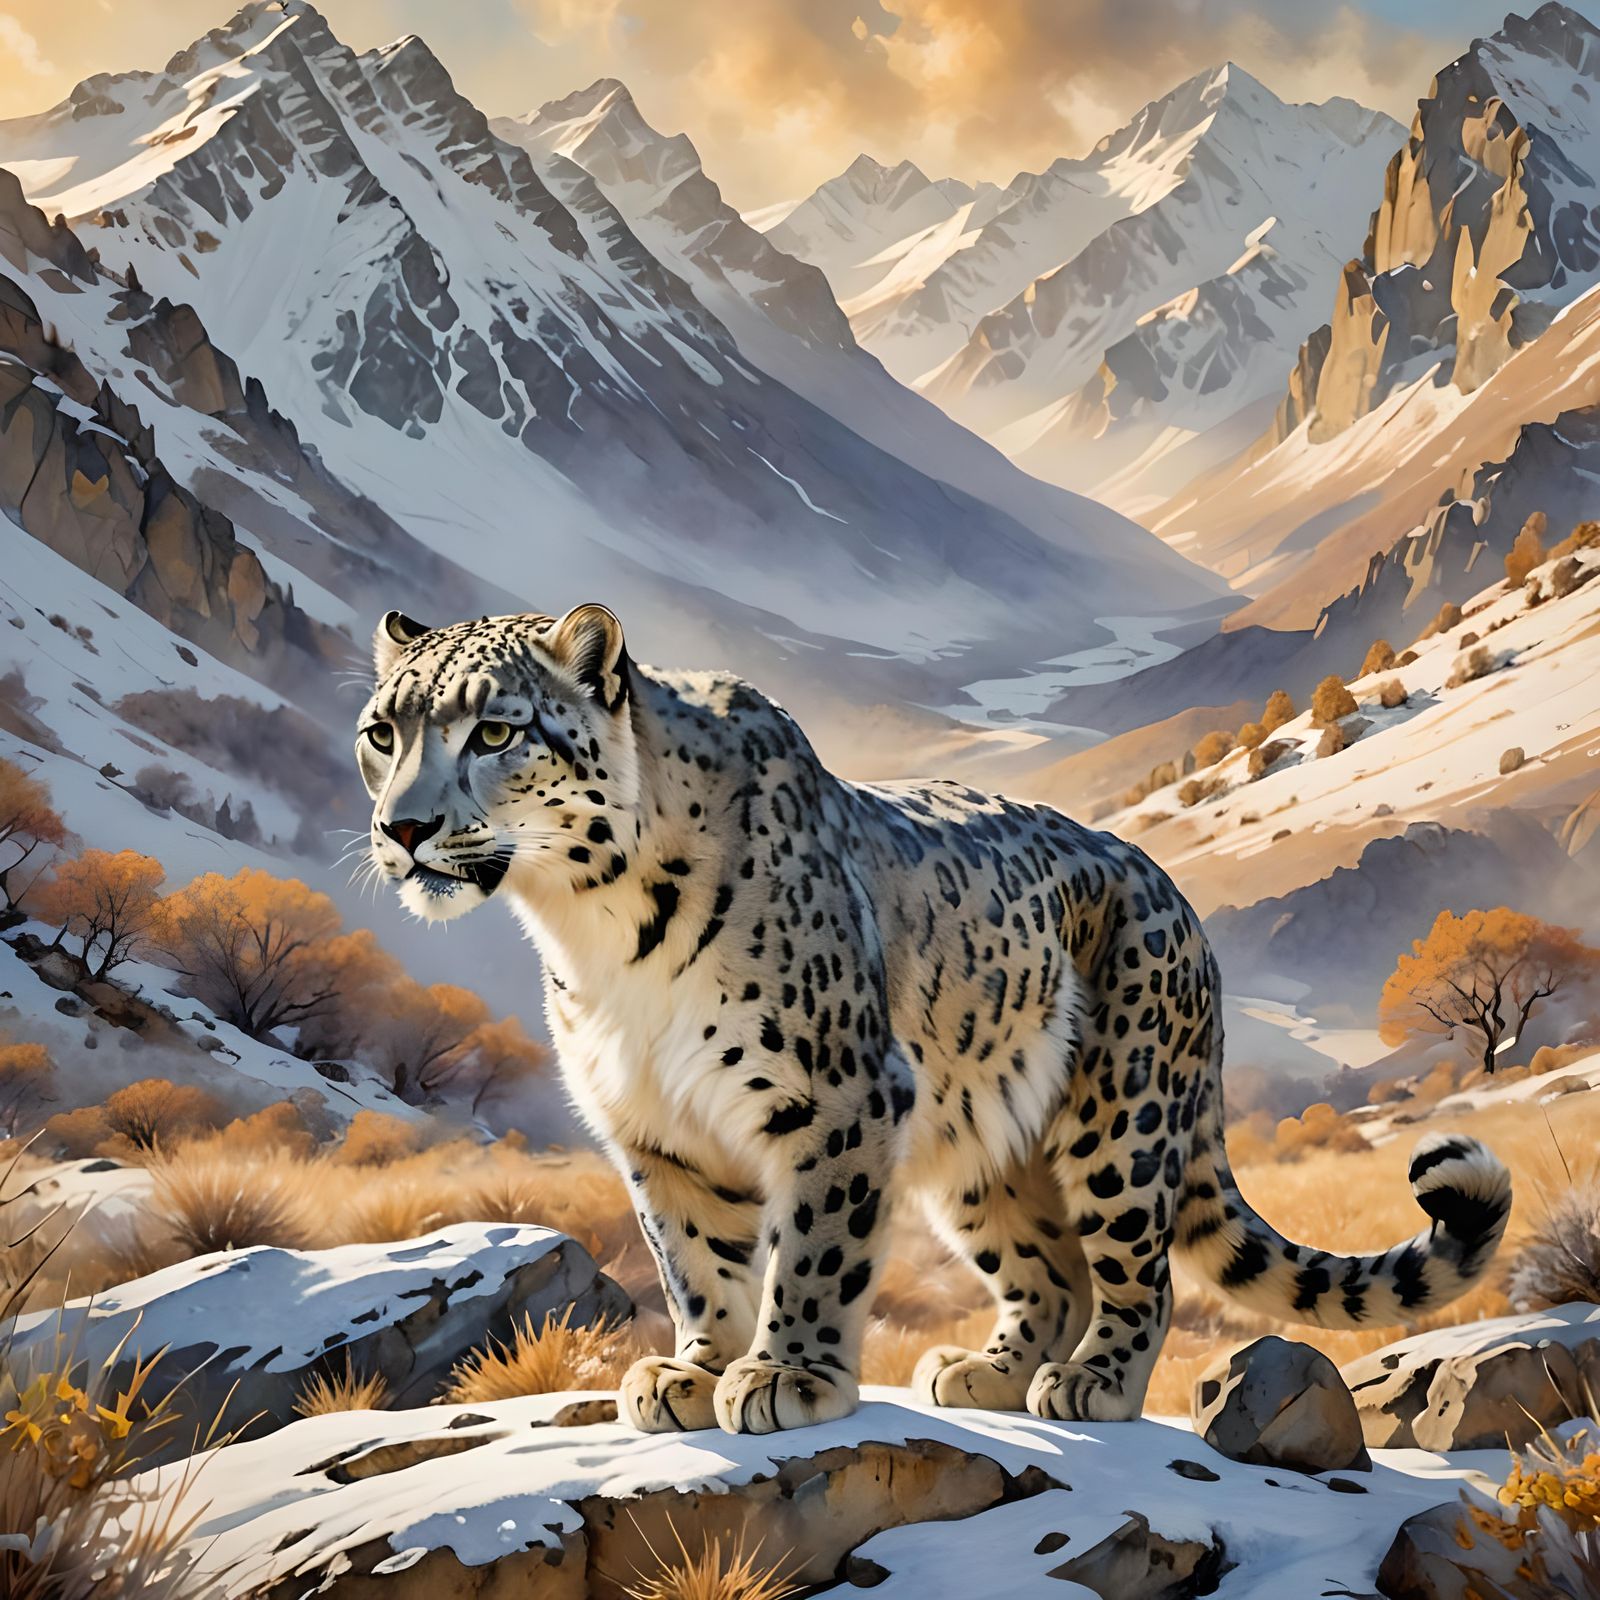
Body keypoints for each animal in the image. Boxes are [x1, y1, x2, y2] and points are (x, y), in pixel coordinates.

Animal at [354, 602, 1513, 1435]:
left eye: (494, 730)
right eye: (381, 732)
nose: (402, 827)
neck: (590, 929)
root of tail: (1183, 908)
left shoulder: (835, 1094)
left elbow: (813, 1246)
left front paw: (783, 1376)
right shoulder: (654, 1127)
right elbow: (695, 1260)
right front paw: (694, 1372)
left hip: (1120, 1119)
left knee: (1135, 1274)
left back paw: (1090, 1383)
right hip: (981, 1151)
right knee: (1051, 1273)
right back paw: (986, 1372)